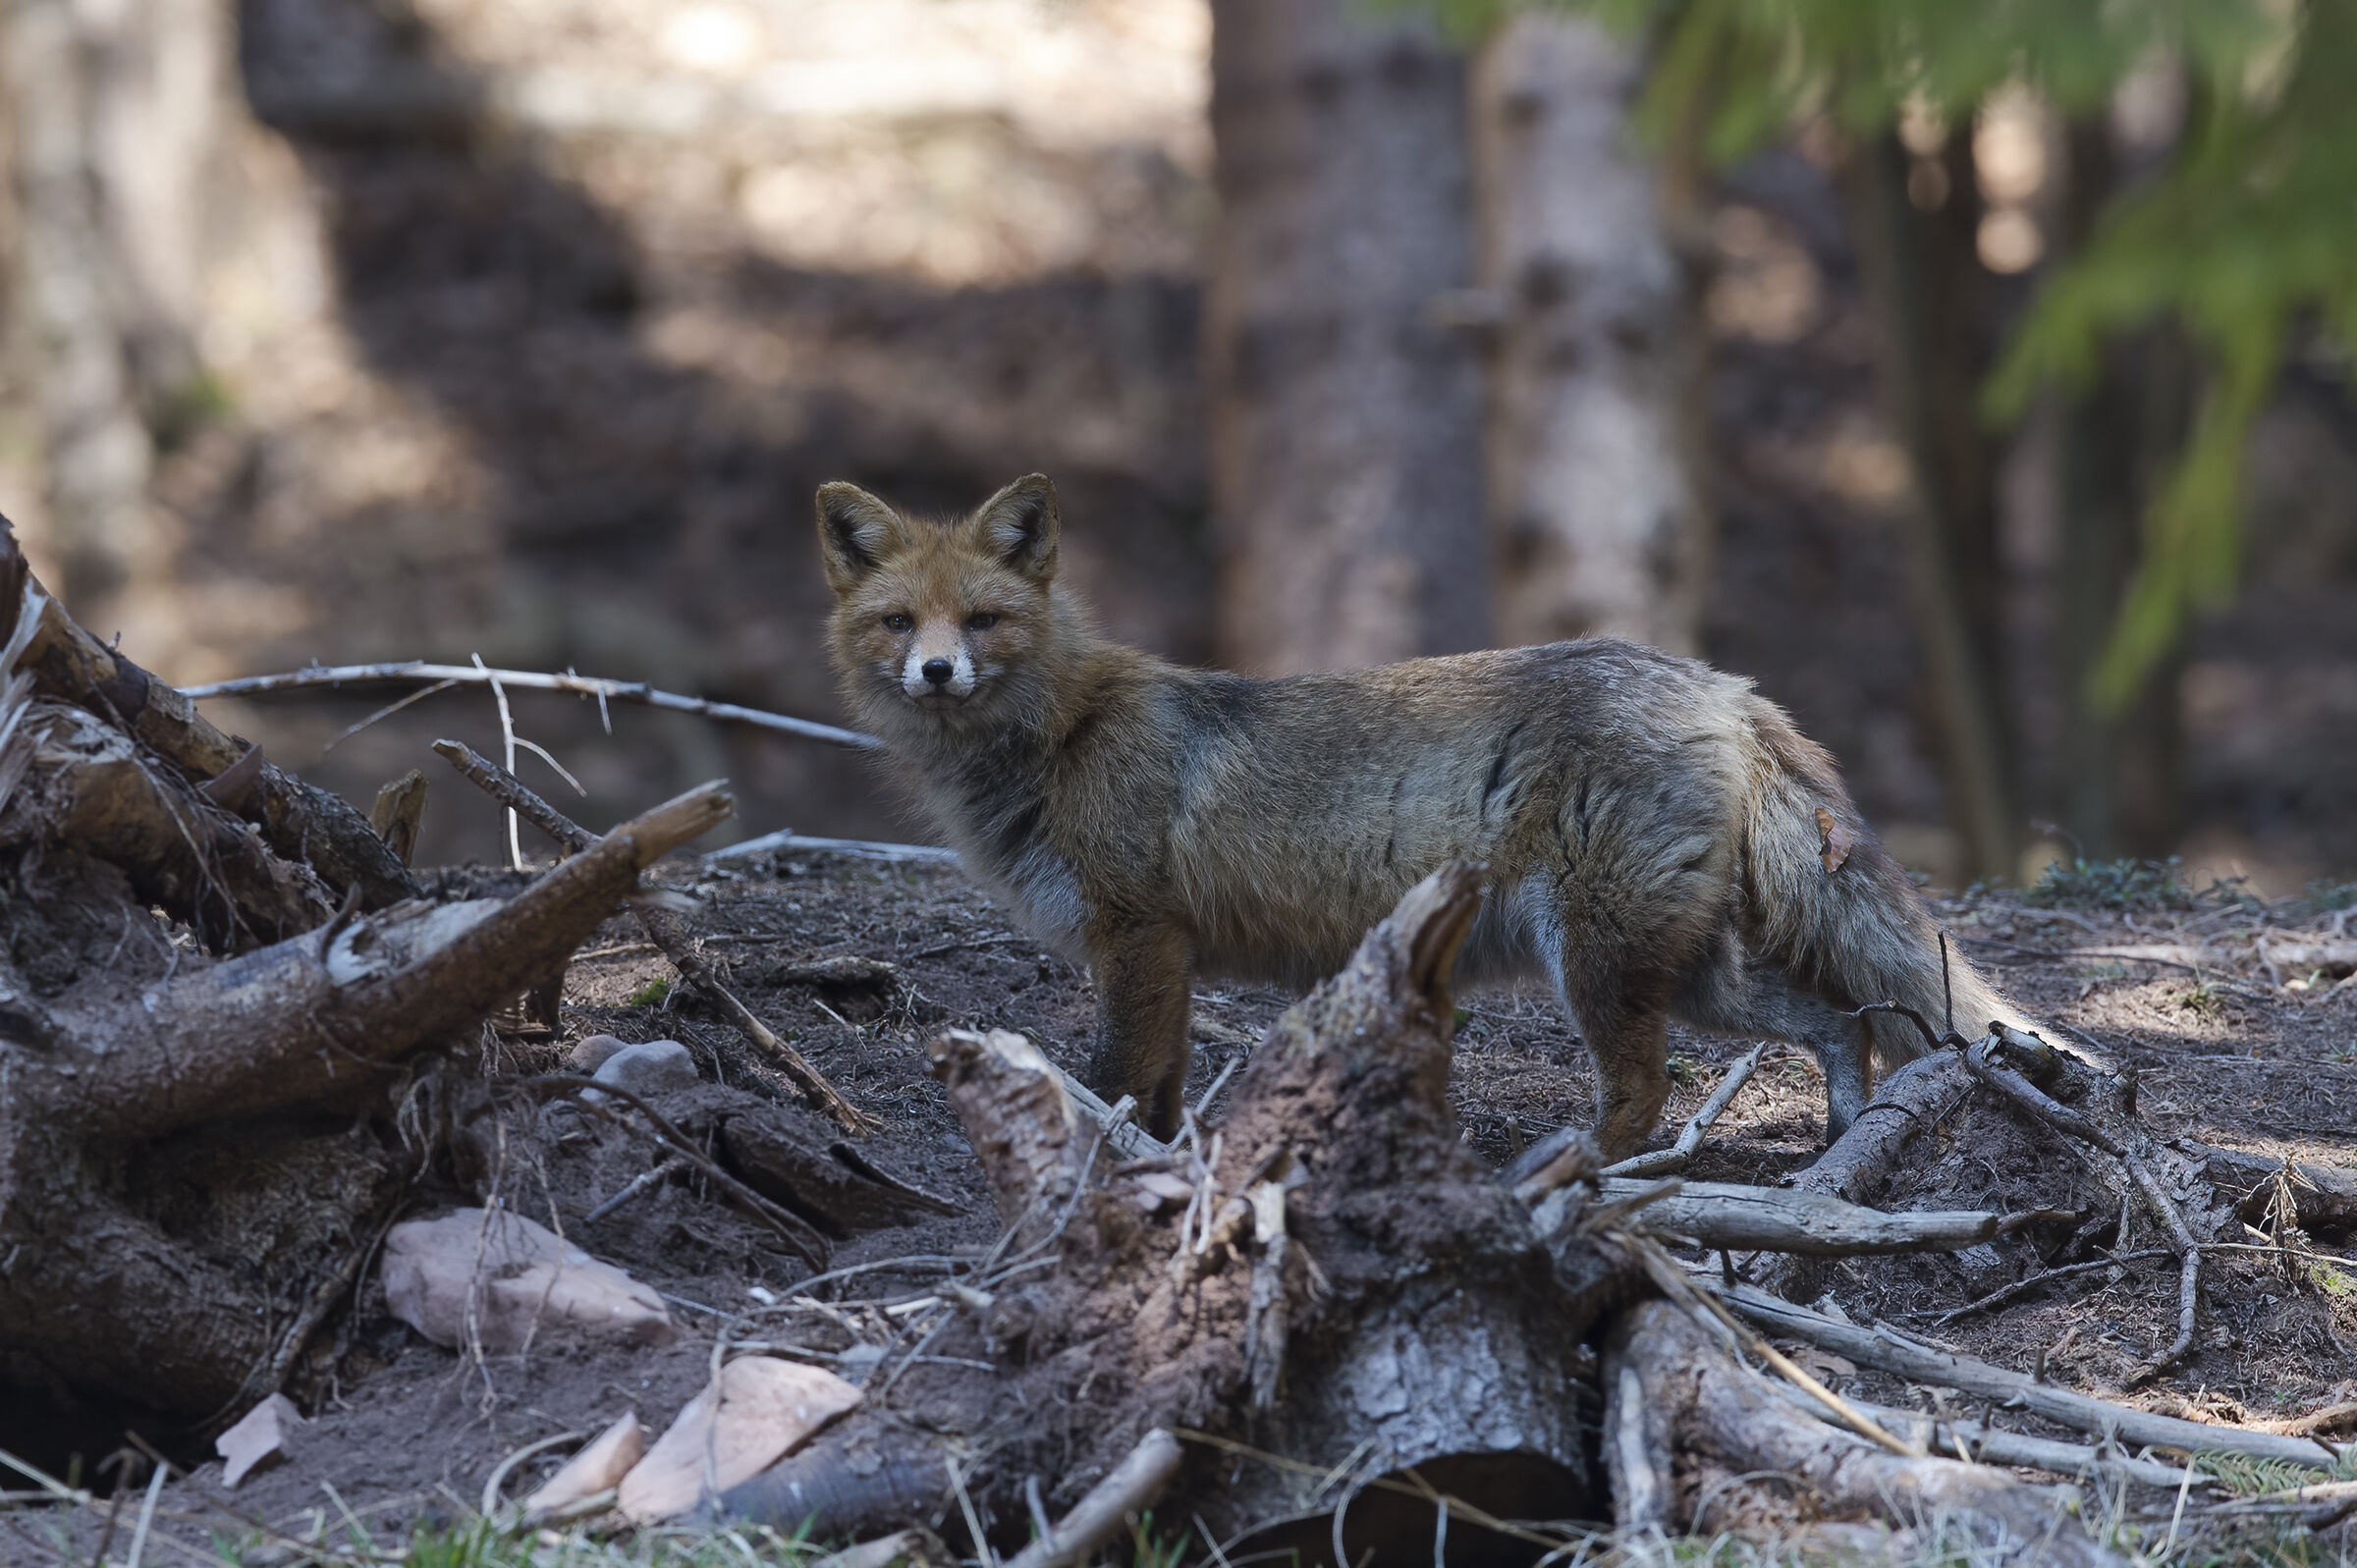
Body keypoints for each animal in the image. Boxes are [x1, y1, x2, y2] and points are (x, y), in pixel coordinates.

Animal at [816, 472, 2032, 1157]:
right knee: (1843, 1021)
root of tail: (1719, 684)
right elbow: (1159, 1092)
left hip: (1597, 963)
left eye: (983, 619)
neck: (1062, 737)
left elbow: (1116, 1081)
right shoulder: (1167, 956)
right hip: (1688, 969)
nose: (936, 672)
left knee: (1642, 1089)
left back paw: (1588, 1175)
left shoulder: (1140, 936)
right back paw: (1834, 1151)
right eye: (897, 622)